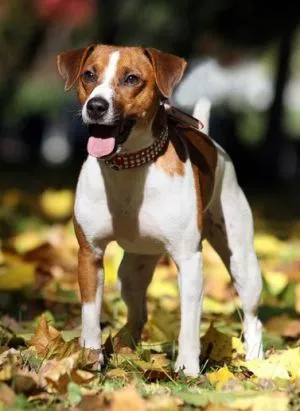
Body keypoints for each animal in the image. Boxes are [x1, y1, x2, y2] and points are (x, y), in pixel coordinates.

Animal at [56, 45, 262, 376]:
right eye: (89, 75)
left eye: (131, 78)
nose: (96, 105)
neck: (130, 166)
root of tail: (211, 141)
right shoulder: (90, 254)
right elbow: (89, 314)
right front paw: (90, 358)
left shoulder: (189, 261)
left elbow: (189, 323)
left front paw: (188, 369)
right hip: (132, 271)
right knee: (138, 311)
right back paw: (125, 346)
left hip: (243, 262)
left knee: (253, 316)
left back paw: (256, 360)